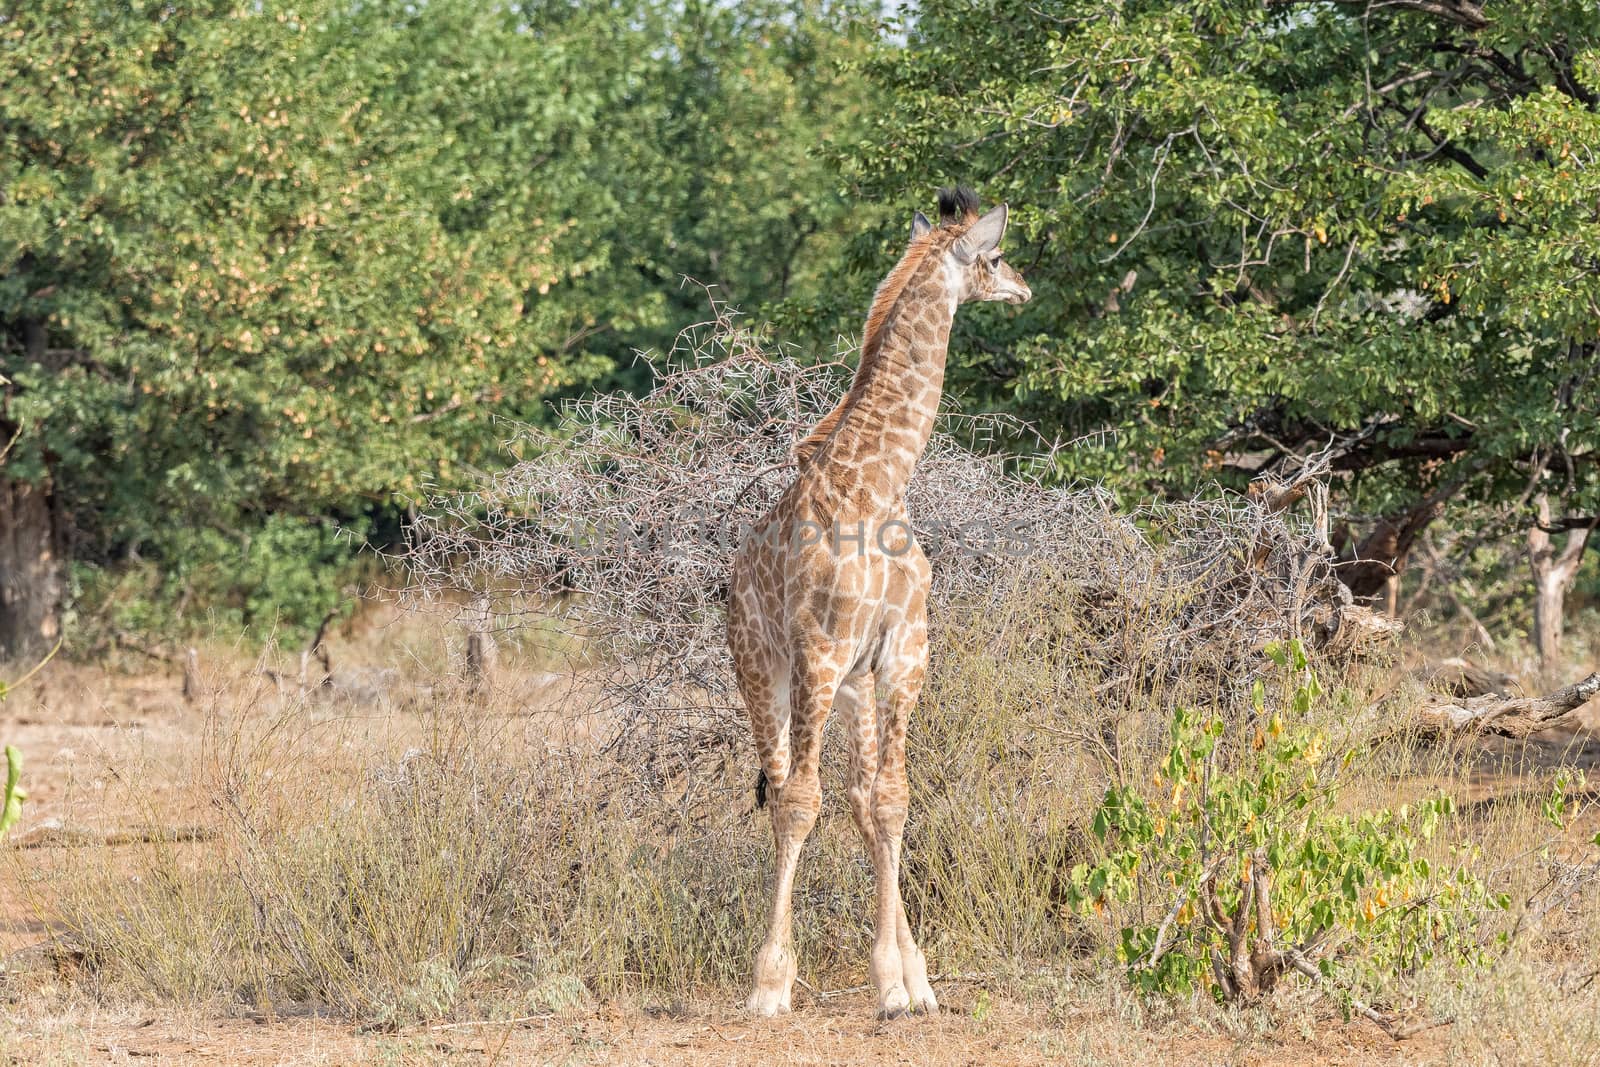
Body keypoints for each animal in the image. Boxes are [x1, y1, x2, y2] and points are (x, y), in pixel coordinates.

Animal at [729, 185, 1030, 1017]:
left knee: (864, 799)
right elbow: (802, 802)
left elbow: (891, 799)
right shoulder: (820, 649)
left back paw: (903, 974)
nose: (1023, 288)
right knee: (786, 793)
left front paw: (905, 980)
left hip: (857, 684)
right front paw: (771, 981)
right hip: (764, 673)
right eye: (995, 255)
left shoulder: (901, 649)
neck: (880, 481)